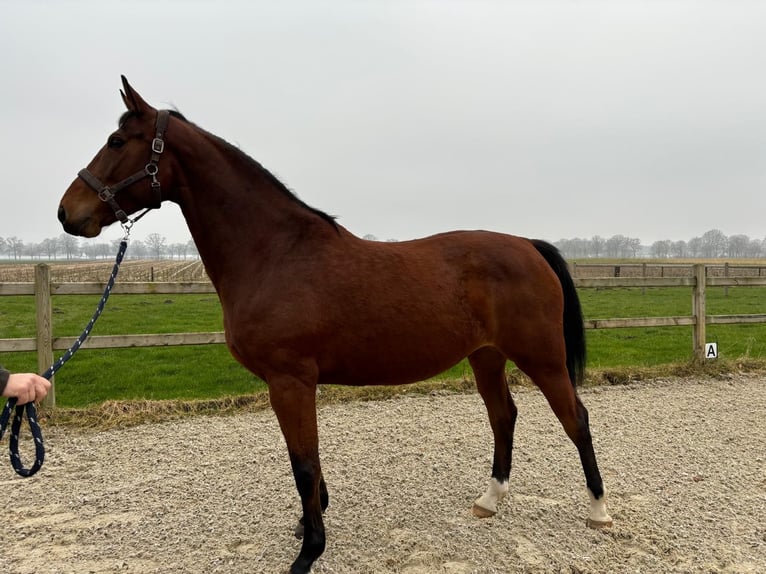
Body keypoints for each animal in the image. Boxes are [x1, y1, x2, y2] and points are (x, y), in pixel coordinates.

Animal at [57, 77, 616, 574]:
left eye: (117, 141)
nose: (67, 213)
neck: (276, 253)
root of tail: (528, 245)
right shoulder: (295, 384)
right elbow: (307, 461)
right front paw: (309, 527)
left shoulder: (290, 381)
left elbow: (303, 463)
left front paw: (309, 552)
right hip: (487, 356)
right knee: (504, 416)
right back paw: (490, 499)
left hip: (542, 357)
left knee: (575, 419)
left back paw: (598, 510)